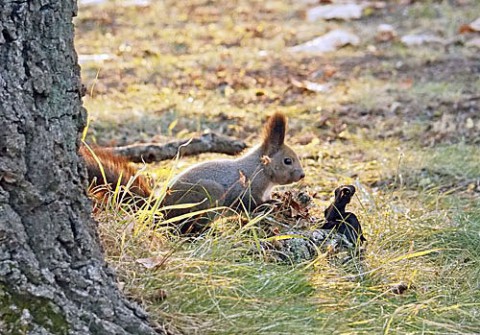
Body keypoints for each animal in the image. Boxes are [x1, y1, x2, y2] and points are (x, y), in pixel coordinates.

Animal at [79, 113, 304, 234]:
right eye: (287, 160)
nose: (302, 176)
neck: (260, 170)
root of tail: (160, 208)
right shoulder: (245, 190)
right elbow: (249, 205)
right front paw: (268, 205)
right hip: (207, 196)